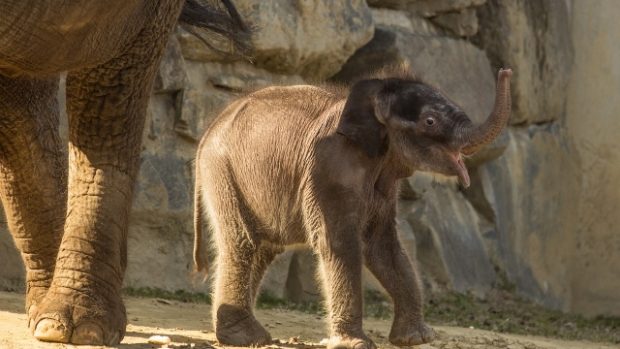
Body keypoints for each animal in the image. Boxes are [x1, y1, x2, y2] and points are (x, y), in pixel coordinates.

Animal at [194, 66, 512, 346]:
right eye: (430, 121)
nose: (506, 71)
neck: (374, 94)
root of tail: (208, 131)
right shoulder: (328, 168)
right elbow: (339, 242)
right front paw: (355, 344)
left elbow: (382, 245)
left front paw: (416, 340)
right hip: (223, 174)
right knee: (243, 242)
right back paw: (246, 338)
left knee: (264, 248)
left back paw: (247, 336)